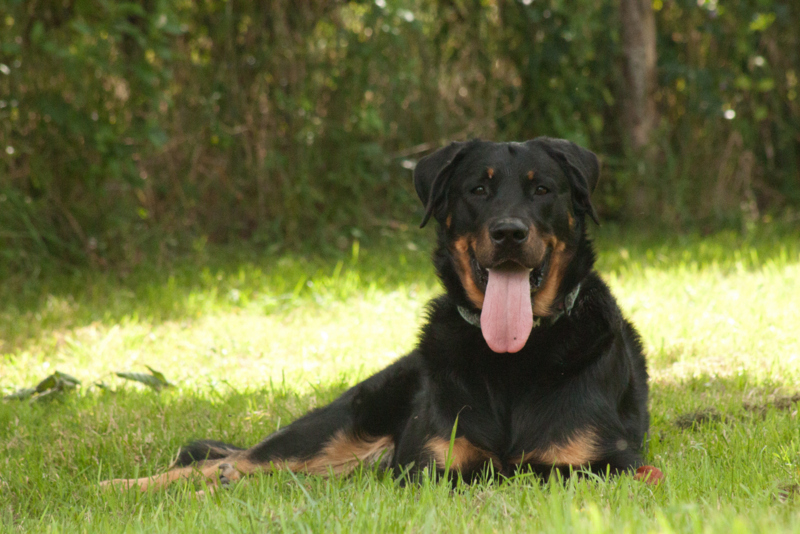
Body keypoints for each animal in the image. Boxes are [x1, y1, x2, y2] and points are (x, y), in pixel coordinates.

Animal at [101, 138, 664, 494]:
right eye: (478, 190)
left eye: (543, 189)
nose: (508, 232)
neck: (514, 360)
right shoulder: (428, 466)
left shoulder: (605, 463)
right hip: (332, 431)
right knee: (232, 461)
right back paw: (123, 486)